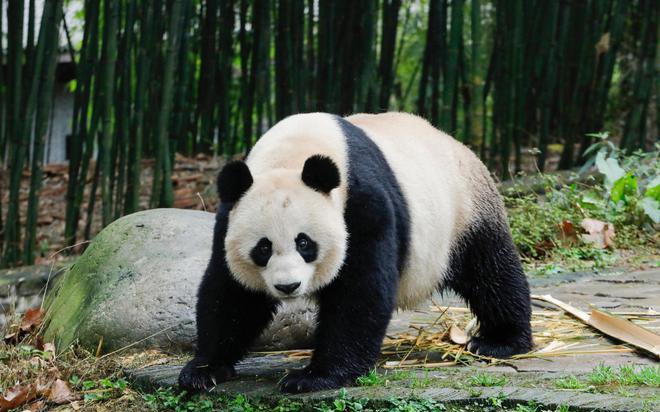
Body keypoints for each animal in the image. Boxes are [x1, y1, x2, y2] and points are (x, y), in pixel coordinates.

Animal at [178, 112, 532, 392]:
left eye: (304, 243)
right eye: (263, 248)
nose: (287, 287)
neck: (292, 155)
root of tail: (457, 144)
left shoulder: (362, 202)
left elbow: (360, 291)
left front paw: (314, 377)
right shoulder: (230, 215)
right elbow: (232, 294)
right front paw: (203, 370)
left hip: (464, 213)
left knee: (492, 272)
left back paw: (500, 341)